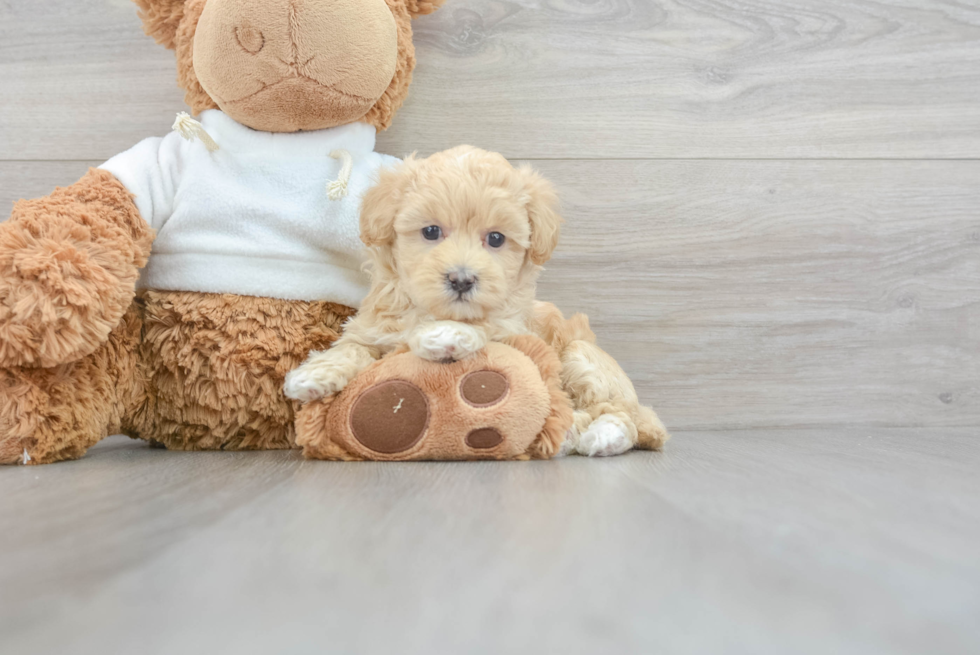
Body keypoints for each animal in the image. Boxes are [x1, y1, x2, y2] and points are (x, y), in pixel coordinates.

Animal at [284, 147, 668, 456]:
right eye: (431, 231)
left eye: (496, 238)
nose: (462, 279)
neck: (432, 310)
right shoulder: (373, 328)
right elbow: (353, 347)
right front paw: (314, 374)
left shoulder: (514, 328)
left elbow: (485, 325)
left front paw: (446, 335)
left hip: (582, 356)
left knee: (622, 415)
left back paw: (600, 435)